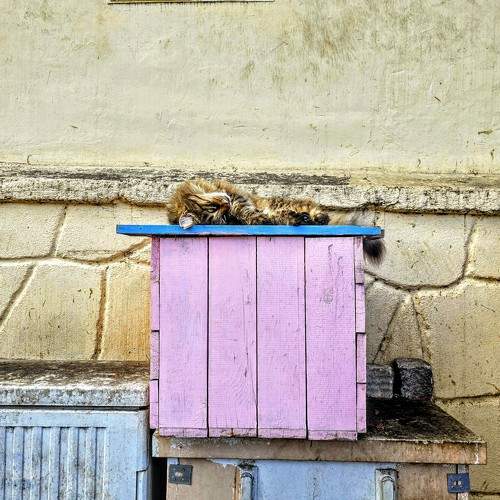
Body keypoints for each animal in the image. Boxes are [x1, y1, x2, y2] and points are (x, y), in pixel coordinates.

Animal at [166, 179, 385, 264]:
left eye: (214, 207)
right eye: (221, 216)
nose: (225, 204)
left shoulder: (238, 197)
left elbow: (246, 208)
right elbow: (253, 217)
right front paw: (259, 219)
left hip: (283, 202)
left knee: (314, 209)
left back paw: (315, 217)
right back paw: (301, 219)